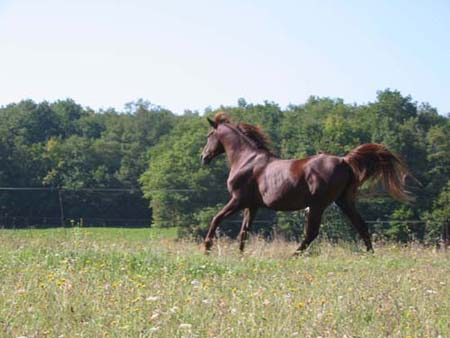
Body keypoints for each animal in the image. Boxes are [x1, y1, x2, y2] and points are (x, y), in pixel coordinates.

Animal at [202, 112, 414, 255]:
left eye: (208, 135)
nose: (203, 157)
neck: (247, 159)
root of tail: (344, 160)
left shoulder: (237, 200)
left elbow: (216, 219)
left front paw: (207, 248)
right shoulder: (252, 206)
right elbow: (244, 232)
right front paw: (240, 255)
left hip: (318, 205)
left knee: (311, 233)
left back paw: (293, 256)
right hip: (344, 201)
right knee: (361, 226)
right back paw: (370, 255)